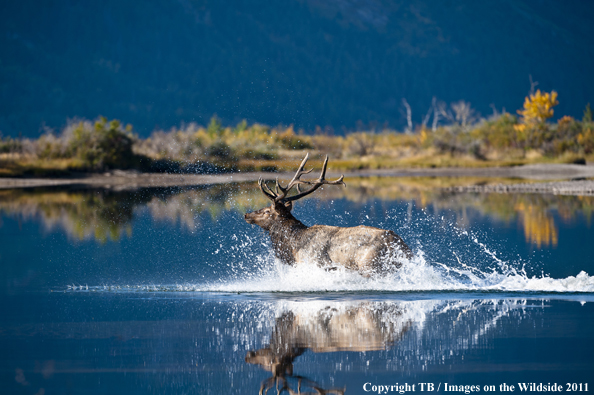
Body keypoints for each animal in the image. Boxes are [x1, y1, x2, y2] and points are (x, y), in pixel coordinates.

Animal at [243, 155, 410, 276]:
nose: (247, 214)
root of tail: (401, 246)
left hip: (371, 265)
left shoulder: (316, 263)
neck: (294, 246)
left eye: (267, 211)